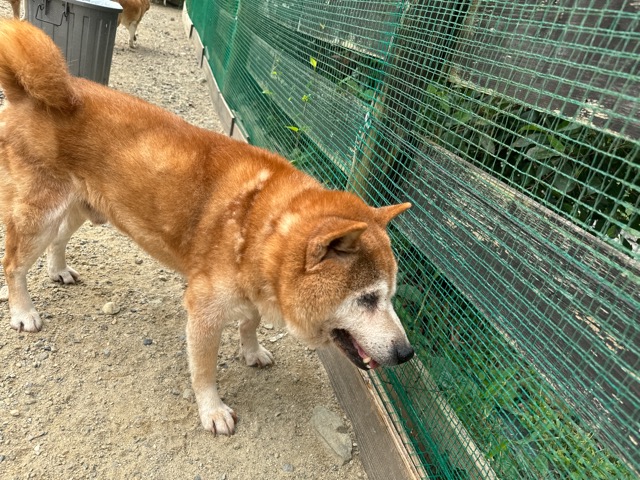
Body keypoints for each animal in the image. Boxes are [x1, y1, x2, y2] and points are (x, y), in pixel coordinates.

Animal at [0, 19, 414, 436]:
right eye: (368, 299)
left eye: (390, 296)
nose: (407, 352)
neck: (259, 223)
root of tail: (31, 95)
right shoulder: (204, 309)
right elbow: (204, 370)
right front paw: (212, 410)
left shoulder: (252, 292)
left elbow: (251, 323)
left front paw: (251, 350)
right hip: (40, 216)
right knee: (13, 265)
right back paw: (23, 312)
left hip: (79, 209)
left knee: (59, 240)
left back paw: (58, 270)